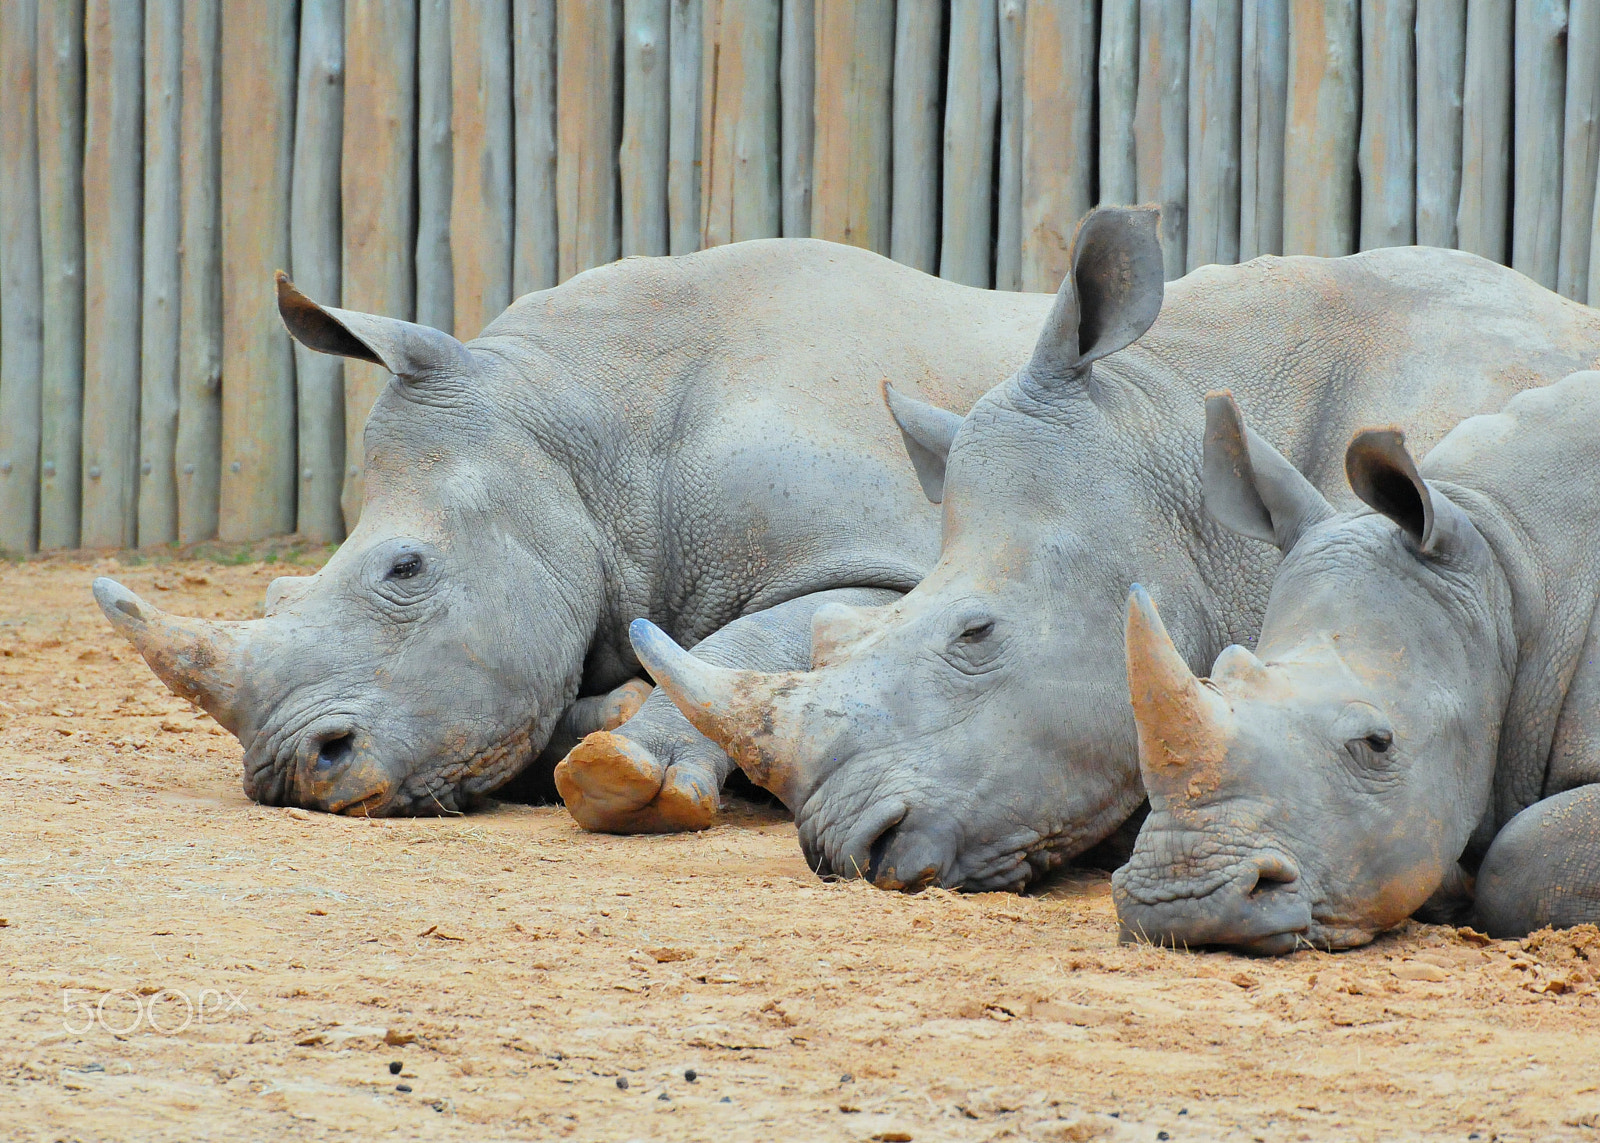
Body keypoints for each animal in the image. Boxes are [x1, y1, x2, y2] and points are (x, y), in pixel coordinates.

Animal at [92, 241, 1053, 817]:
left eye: (406, 570)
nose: (293, 772)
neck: (592, 431)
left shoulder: (897, 555)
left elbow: (763, 636)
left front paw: (622, 776)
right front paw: (614, 716)